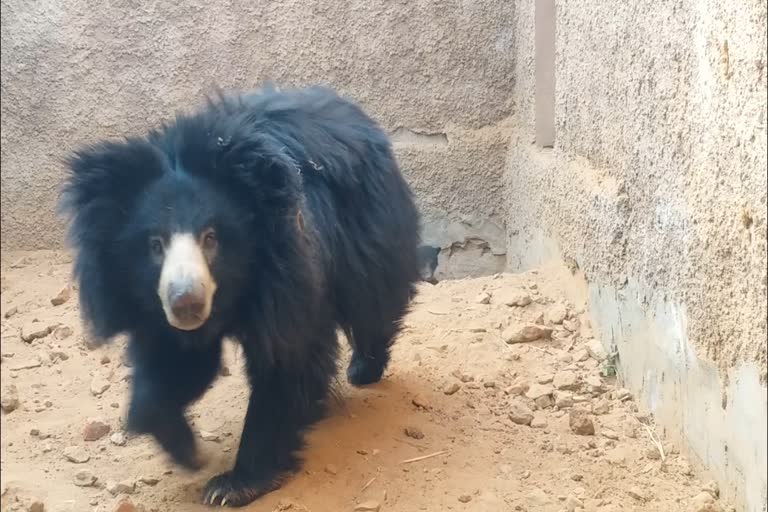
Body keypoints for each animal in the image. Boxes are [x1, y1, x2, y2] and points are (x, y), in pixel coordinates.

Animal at [58, 86, 420, 506]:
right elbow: (176, 363)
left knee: (372, 303)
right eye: (155, 245)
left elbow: (286, 362)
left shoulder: (287, 274)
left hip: (364, 231)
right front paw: (185, 449)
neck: (233, 293)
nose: (186, 302)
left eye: (211, 238)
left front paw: (232, 484)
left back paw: (364, 368)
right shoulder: (148, 305)